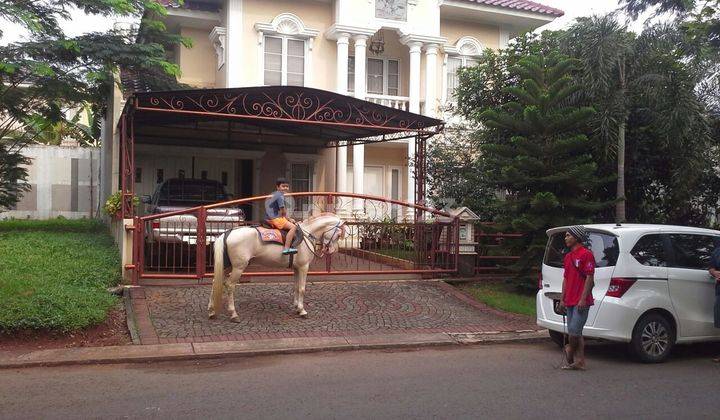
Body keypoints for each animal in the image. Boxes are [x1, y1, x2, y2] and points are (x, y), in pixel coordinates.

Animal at [208, 213, 346, 322]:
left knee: (215, 282)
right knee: (230, 285)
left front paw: (297, 307)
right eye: (338, 234)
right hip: (238, 267)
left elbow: (296, 287)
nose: (331, 250)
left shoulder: (296, 268)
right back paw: (233, 314)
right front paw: (302, 310)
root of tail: (228, 233)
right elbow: (302, 288)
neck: (307, 234)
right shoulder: (303, 267)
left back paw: (211, 310)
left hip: (227, 266)